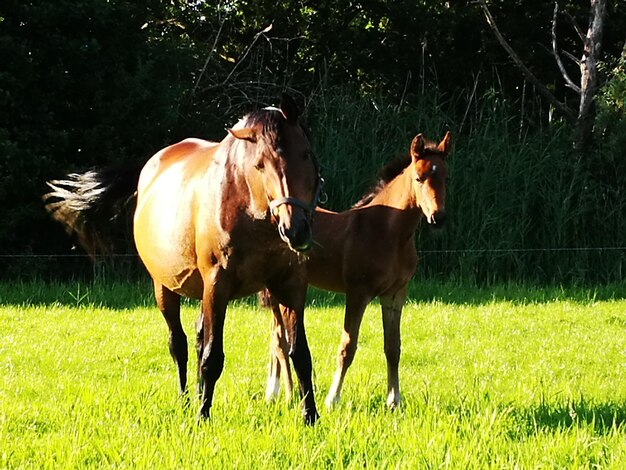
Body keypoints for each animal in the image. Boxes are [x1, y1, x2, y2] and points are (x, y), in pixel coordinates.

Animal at [42, 93, 322, 424]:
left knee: (199, 339)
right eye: (259, 165)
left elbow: (300, 354)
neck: (248, 205)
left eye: (305, 154)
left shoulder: (291, 285)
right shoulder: (217, 285)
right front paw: (202, 416)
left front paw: (311, 417)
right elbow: (213, 357)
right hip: (165, 287)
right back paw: (188, 401)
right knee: (180, 344)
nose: (295, 229)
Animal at [262, 130, 448, 410]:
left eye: (446, 177)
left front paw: (394, 401)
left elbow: (393, 347)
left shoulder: (395, 295)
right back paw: (288, 394)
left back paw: (273, 393)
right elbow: (347, 347)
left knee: (276, 338)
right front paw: (332, 399)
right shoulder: (358, 294)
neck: (388, 233)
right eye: (419, 177)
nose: (438, 218)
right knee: (280, 340)